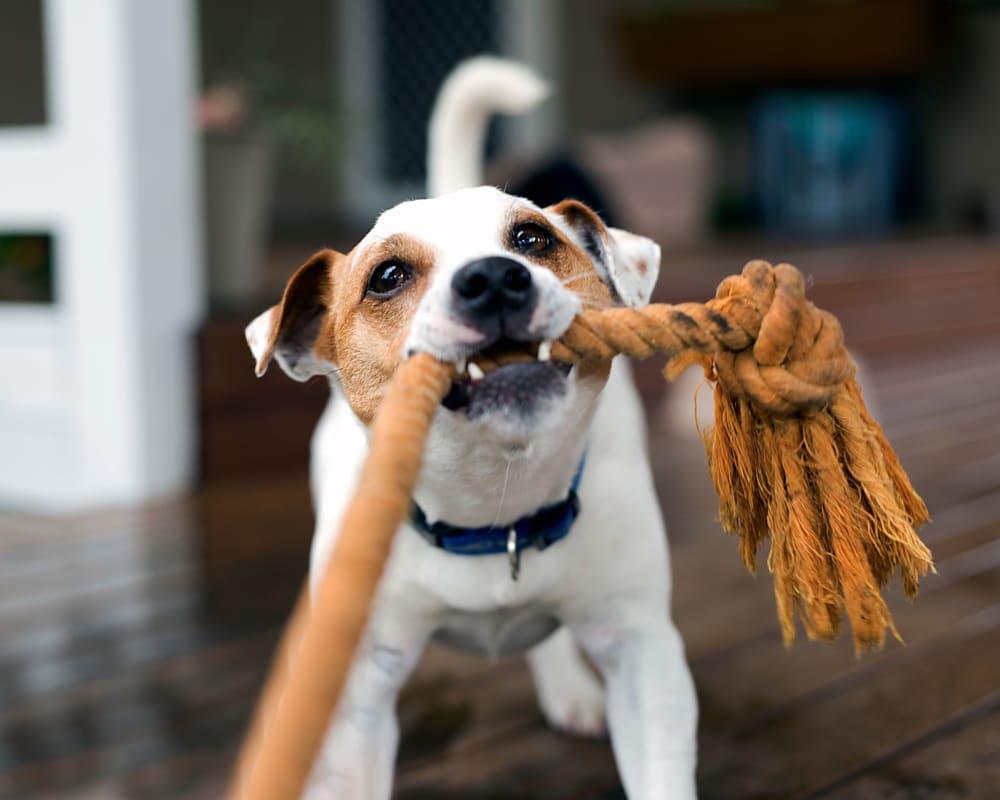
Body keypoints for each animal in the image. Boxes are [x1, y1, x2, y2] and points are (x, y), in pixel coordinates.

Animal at [244, 57, 696, 800]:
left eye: (534, 239)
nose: (492, 278)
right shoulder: (360, 695)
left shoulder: (643, 654)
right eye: (388, 276)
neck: (494, 507)